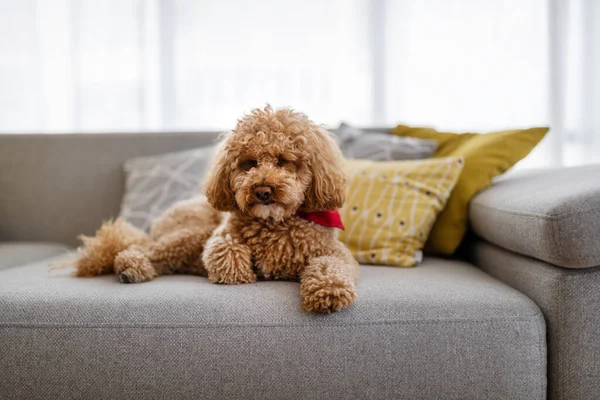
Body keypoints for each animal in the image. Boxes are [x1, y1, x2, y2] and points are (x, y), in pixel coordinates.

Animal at [72, 106, 358, 312]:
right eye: (249, 163)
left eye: (283, 161)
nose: (262, 190)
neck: (275, 223)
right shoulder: (220, 235)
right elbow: (226, 249)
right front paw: (239, 273)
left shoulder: (335, 253)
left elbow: (330, 266)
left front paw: (328, 291)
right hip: (191, 233)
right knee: (143, 249)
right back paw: (130, 267)